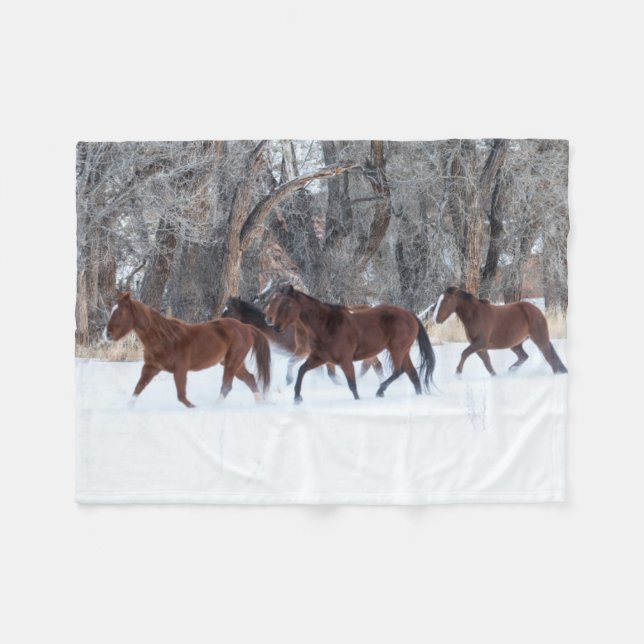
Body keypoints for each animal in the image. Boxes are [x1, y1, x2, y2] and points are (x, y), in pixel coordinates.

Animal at [103, 293, 271, 407]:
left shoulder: (180, 370)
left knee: (227, 386)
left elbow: (182, 396)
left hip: (232, 361)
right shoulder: (151, 367)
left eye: (120, 312)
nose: (107, 334)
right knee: (250, 379)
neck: (163, 338)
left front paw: (195, 407)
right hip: (233, 363)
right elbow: (137, 389)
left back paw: (214, 407)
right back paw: (260, 404)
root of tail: (247, 327)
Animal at [265, 285, 435, 403]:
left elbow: (352, 384)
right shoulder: (319, 357)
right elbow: (301, 370)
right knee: (412, 375)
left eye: (287, 303)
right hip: (403, 352)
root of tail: (410, 315)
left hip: (397, 350)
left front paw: (358, 401)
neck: (326, 325)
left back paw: (380, 391)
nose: (275, 326)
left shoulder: (345, 360)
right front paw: (297, 398)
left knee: (399, 371)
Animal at [432, 286, 567, 376]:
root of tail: (537, 311)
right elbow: (487, 363)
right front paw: (495, 377)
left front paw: (458, 373)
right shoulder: (479, 347)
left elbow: (464, 353)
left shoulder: (480, 343)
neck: (475, 315)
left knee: (550, 357)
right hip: (516, 344)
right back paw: (511, 370)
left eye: (446, 300)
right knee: (524, 356)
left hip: (540, 339)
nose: (436, 319)